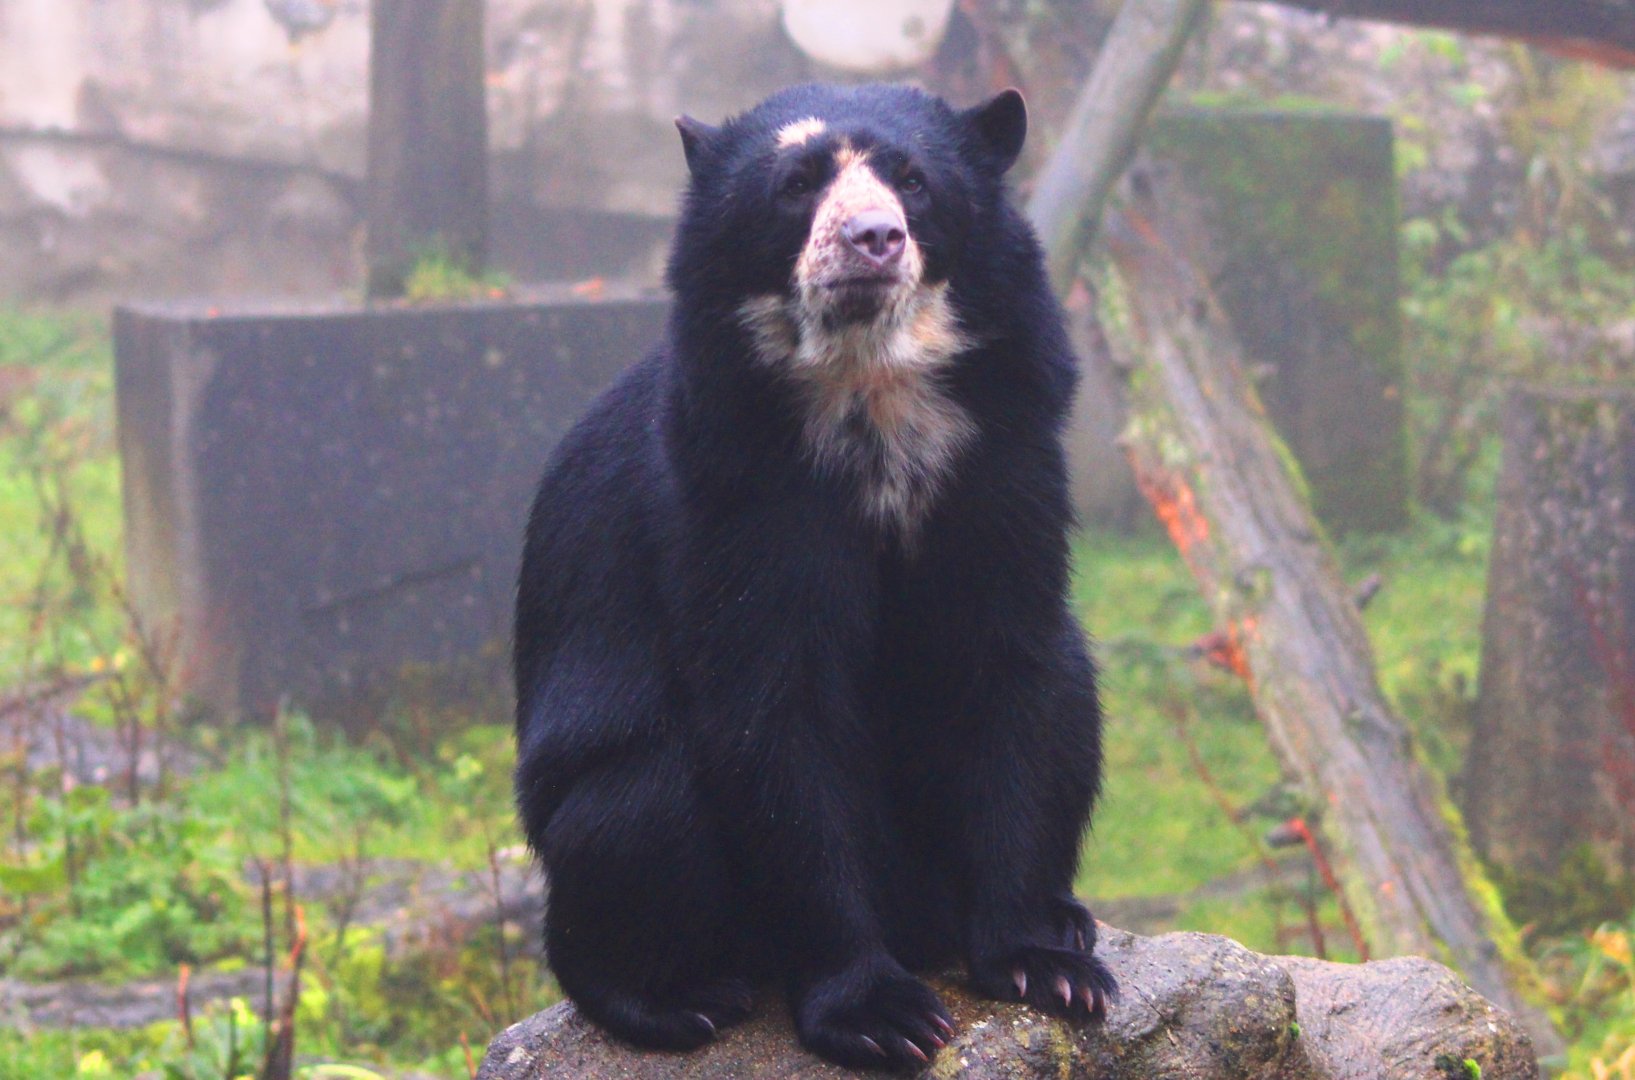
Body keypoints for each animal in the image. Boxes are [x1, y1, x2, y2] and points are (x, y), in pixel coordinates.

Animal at [513, 82, 1113, 1071]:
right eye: (795, 184)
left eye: (912, 179)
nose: (873, 238)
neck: (872, 390)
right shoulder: (740, 492)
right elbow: (773, 711)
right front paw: (879, 1014)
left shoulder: (1002, 455)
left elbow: (1012, 667)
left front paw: (1044, 967)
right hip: (604, 820)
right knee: (636, 805)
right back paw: (673, 999)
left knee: (1072, 695)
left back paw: (1064, 922)